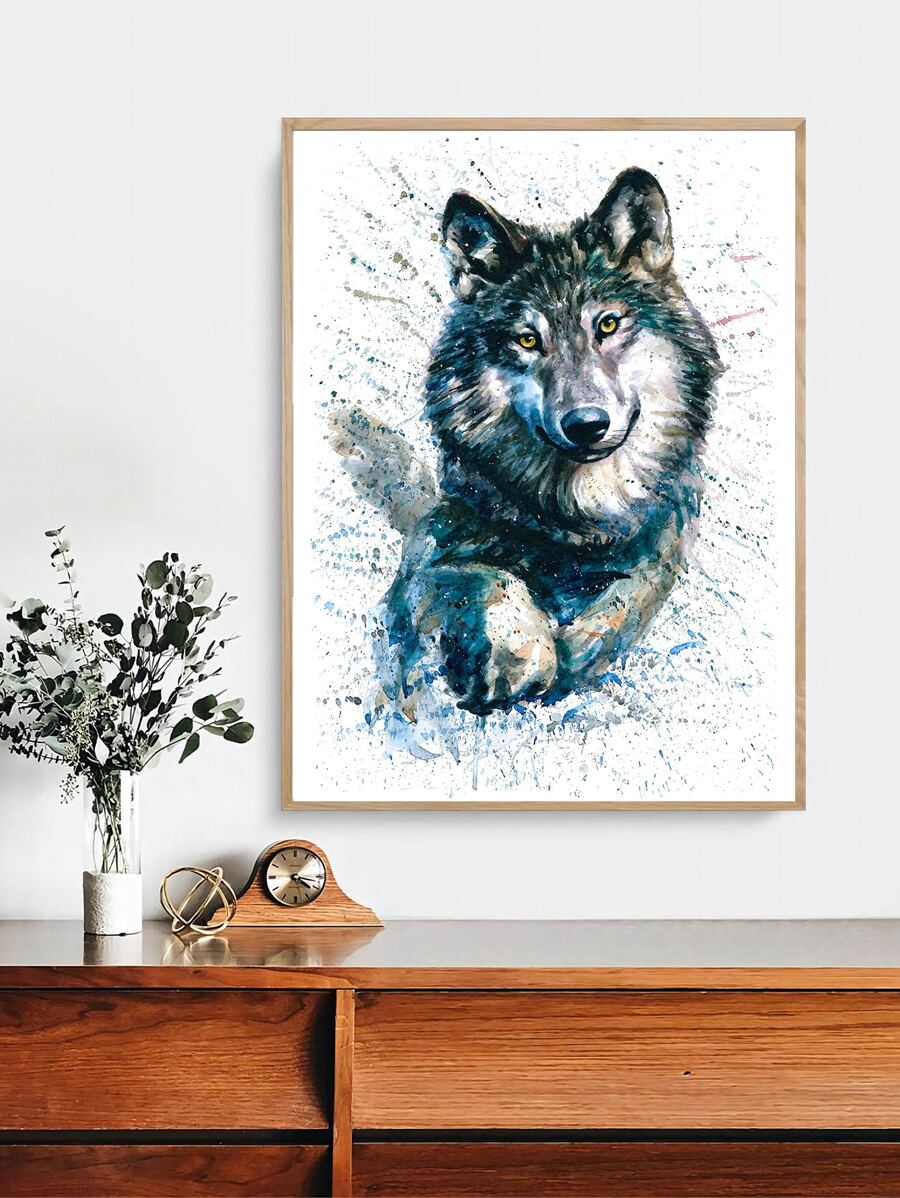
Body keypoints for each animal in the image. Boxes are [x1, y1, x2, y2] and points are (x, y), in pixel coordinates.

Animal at [363, 168, 721, 716]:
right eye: (528, 339)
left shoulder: (663, 541)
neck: (578, 520)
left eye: (608, 324)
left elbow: (625, 600)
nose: (586, 424)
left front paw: (571, 654)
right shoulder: (433, 541)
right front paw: (521, 656)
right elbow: (489, 575)